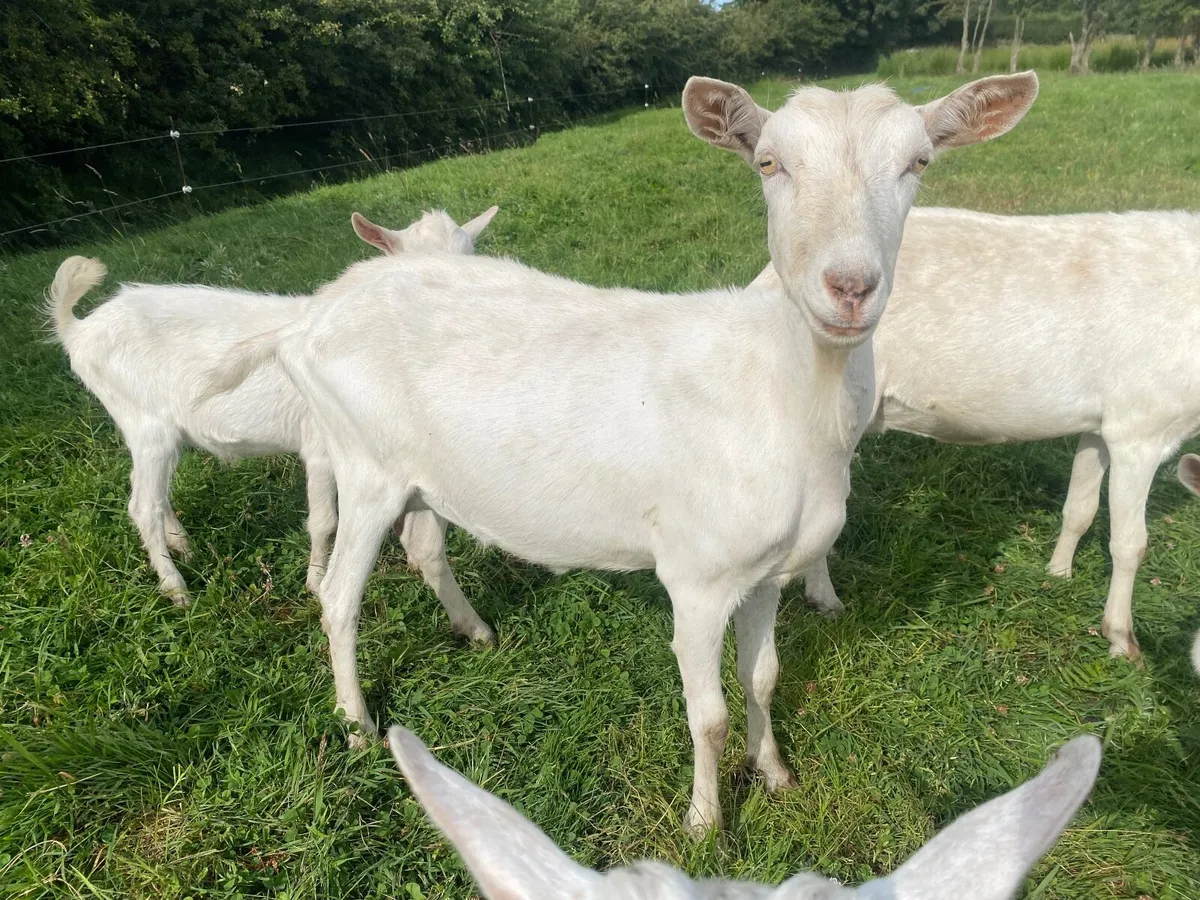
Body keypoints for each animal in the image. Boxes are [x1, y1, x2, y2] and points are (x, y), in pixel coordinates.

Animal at [46, 207, 497, 648]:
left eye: (470, 256)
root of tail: (78, 329)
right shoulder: (321, 446)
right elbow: (324, 521)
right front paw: (314, 582)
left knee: (152, 492)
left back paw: (182, 545)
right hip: (145, 422)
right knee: (142, 506)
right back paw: (177, 589)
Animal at [207, 73, 1038, 833]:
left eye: (919, 162)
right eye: (769, 163)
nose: (850, 287)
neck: (784, 396)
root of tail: (309, 315)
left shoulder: (766, 571)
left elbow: (763, 678)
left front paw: (774, 774)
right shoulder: (697, 575)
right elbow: (707, 712)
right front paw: (705, 823)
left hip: (416, 472)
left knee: (421, 546)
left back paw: (475, 632)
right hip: (363, 463)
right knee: (338, 596)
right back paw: (355, 726)